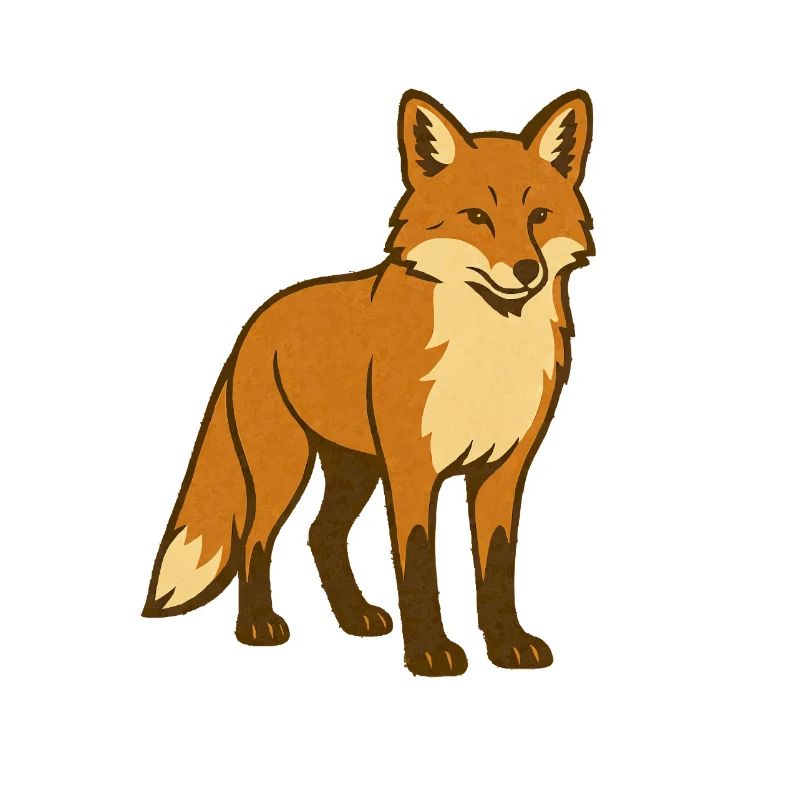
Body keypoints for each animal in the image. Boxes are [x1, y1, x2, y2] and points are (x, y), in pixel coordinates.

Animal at [143, 89, 594, 676]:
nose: (525, 270)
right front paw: (429, 651)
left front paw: (506, 643)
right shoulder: (412, 467)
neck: (486, 353)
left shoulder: (502, 470)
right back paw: (258, 626)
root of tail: (259, 317)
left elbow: (497, 566)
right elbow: (418, 565)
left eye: (539, 216)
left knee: (321, 535)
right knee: (256, 539)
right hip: (285, 466)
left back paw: (355, 616)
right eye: (476, 217)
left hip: (355, 468)